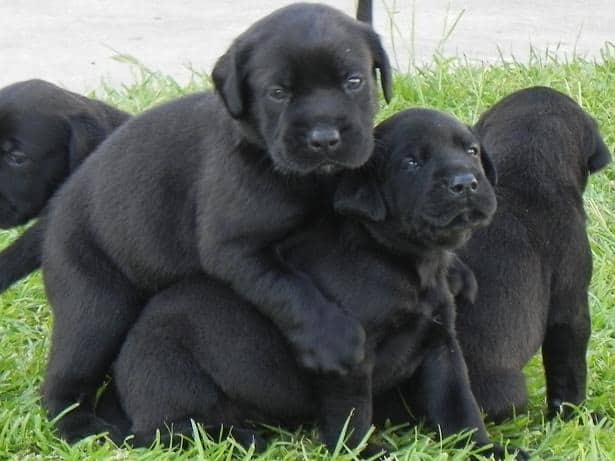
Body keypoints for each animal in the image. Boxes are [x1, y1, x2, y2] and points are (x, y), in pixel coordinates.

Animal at [41, 3, 392, 442]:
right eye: (278, 93)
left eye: (354, 81)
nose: (324, 138)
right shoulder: (235, 248)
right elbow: (289, 289)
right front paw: (332, 339)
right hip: (95, 308)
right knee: (64, 380)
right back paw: (81, 429)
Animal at [109, 108, 524, 456]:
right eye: (411, 162)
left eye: (471, 150)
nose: (465, 183)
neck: (399, 260)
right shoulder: (350, 358)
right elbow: (352, 413)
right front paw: (362, 452)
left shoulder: (440, 343)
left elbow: (458, 407)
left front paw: (486, 449)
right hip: (172, 373)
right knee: (170, 430)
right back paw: (240, 439)